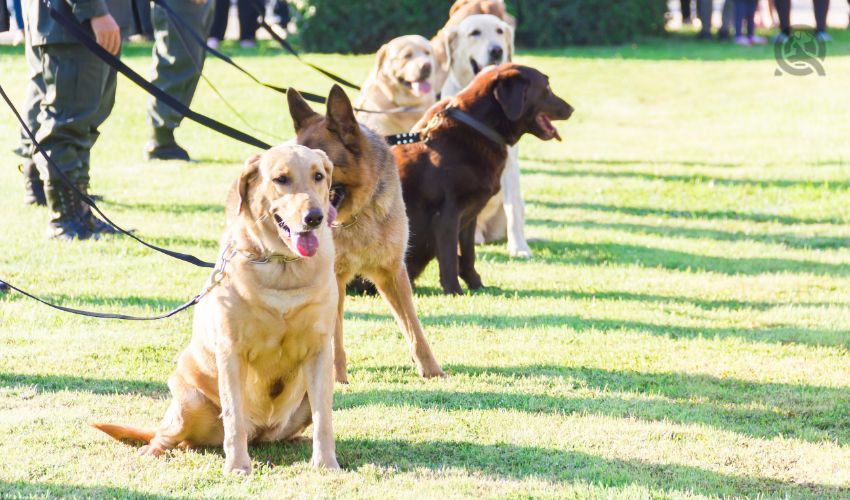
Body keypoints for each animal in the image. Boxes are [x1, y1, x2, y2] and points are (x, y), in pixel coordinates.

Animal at [93, 146, 342, 476]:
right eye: (281, 179)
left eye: (319, 176)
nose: (314, 217)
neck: (281, 267)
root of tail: (260, 432)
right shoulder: (231, 351)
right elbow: (233, 417)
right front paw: (237, 466)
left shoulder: (319, 351)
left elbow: (324, 418)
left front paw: (326, 463)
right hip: (188, 399)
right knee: (173, 437)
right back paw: (154, 450)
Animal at [284, 85, 444, 382]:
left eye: (320, 171)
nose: (302, 214)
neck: (358, 214)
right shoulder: (335, 280)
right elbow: (335, 338)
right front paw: (337, 377)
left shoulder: (392, 273)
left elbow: (414, 327)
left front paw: (431, 370)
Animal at [438, 14, 528, 258]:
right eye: (475, 33)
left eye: (499, 31)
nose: (497, 50)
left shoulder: (509, 165)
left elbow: (513, 210)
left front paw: (519, 248)